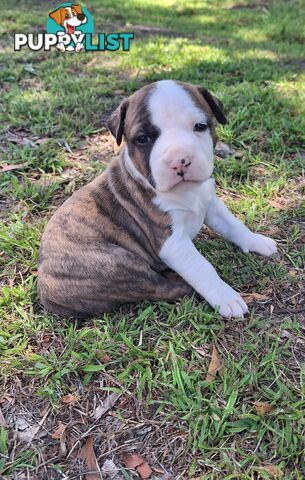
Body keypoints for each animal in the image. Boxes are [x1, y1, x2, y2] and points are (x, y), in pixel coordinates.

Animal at [37, 80, 276, 318]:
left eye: (200, 126)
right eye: (143, 139)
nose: (180, 160)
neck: (187, 192)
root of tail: (45, 290)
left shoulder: (211, 204)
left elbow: (234, 224)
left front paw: (257, 241)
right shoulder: (173, 243)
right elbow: (202, 267)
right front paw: (225, 297)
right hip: (117, 263)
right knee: (159, 287)